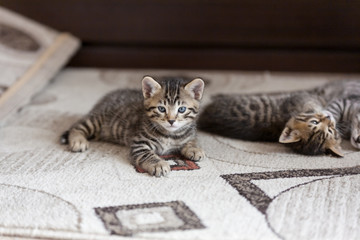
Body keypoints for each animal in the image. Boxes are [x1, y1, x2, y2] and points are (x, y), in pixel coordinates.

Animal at [60, 76, 204, 177]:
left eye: (182, 109)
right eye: (162, 109)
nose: (171, 121)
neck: (170, 135)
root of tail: (107, 96)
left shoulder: (188, 134)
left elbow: (191, 140)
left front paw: (194, 149)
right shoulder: (139, 144)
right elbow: (148, 155)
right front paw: (158, 164)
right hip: (97, 120)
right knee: (77, 125)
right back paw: (78, 141)